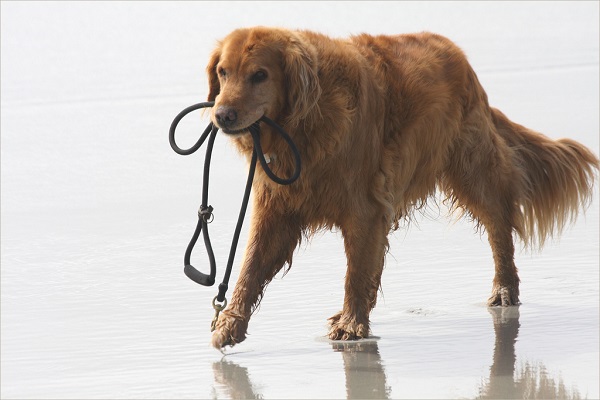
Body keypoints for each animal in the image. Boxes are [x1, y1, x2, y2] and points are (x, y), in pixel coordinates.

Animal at [205, 27, 596, 346]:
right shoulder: (277, 206)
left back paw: (504, 290)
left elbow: (355, 272)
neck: (306, 123)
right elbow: (250, 267)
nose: (221, 115)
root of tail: (460, 57)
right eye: (223, 73)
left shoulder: (364, 208)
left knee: (499, 227)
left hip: (473, 169)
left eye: (260, 75)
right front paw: (230, 323)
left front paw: (351, 325)